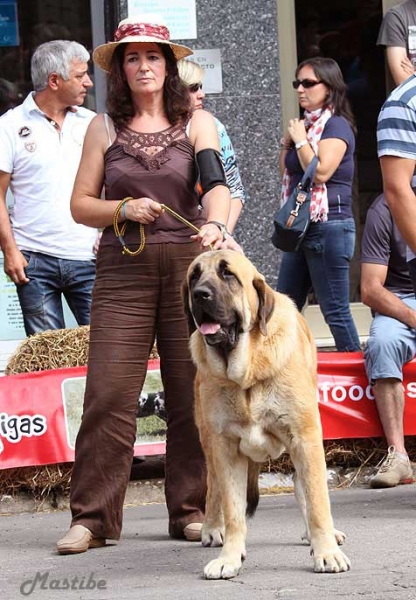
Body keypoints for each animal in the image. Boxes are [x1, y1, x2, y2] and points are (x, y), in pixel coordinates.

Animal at [184, 248, 350, 576]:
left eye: (227, 274)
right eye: (194, 276)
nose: (199, 294)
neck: (247, 372)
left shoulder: (305, 439)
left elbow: (317, 502)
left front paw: (326, 551)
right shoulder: (226, 448)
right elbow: (234, 511)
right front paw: (229, 557)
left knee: (305, 493)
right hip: (210, 444)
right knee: (213, 489)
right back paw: (211, 527)